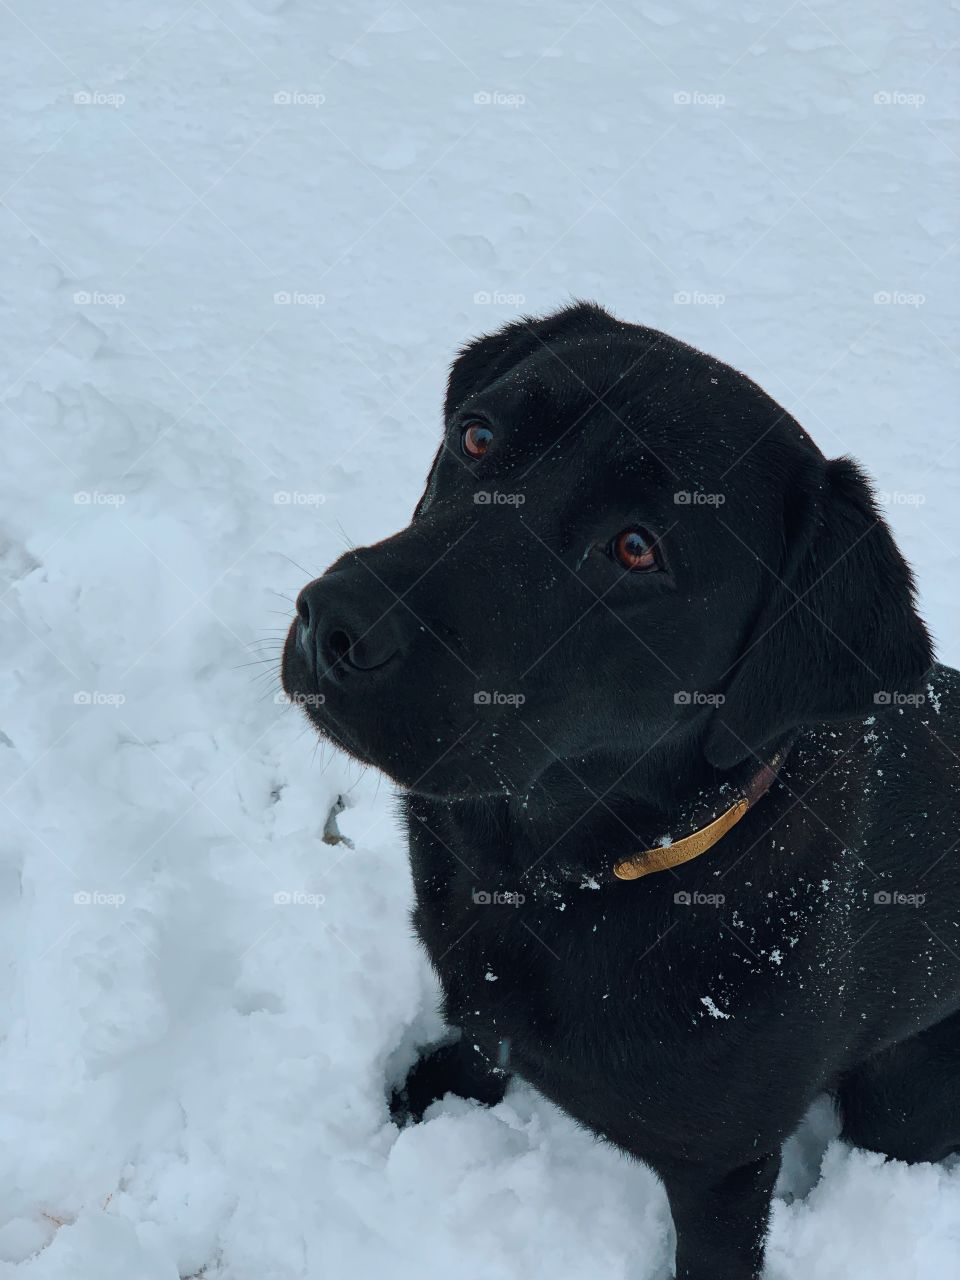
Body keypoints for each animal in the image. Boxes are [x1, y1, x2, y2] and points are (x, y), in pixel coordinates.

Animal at [281, 304, 957, 1274]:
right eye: (476, 436)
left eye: (638, 548)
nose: (335, 621)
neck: (559, 876)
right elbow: (484, 1030)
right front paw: (445, 1085)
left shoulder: (724, 1169)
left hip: (904, 1095)